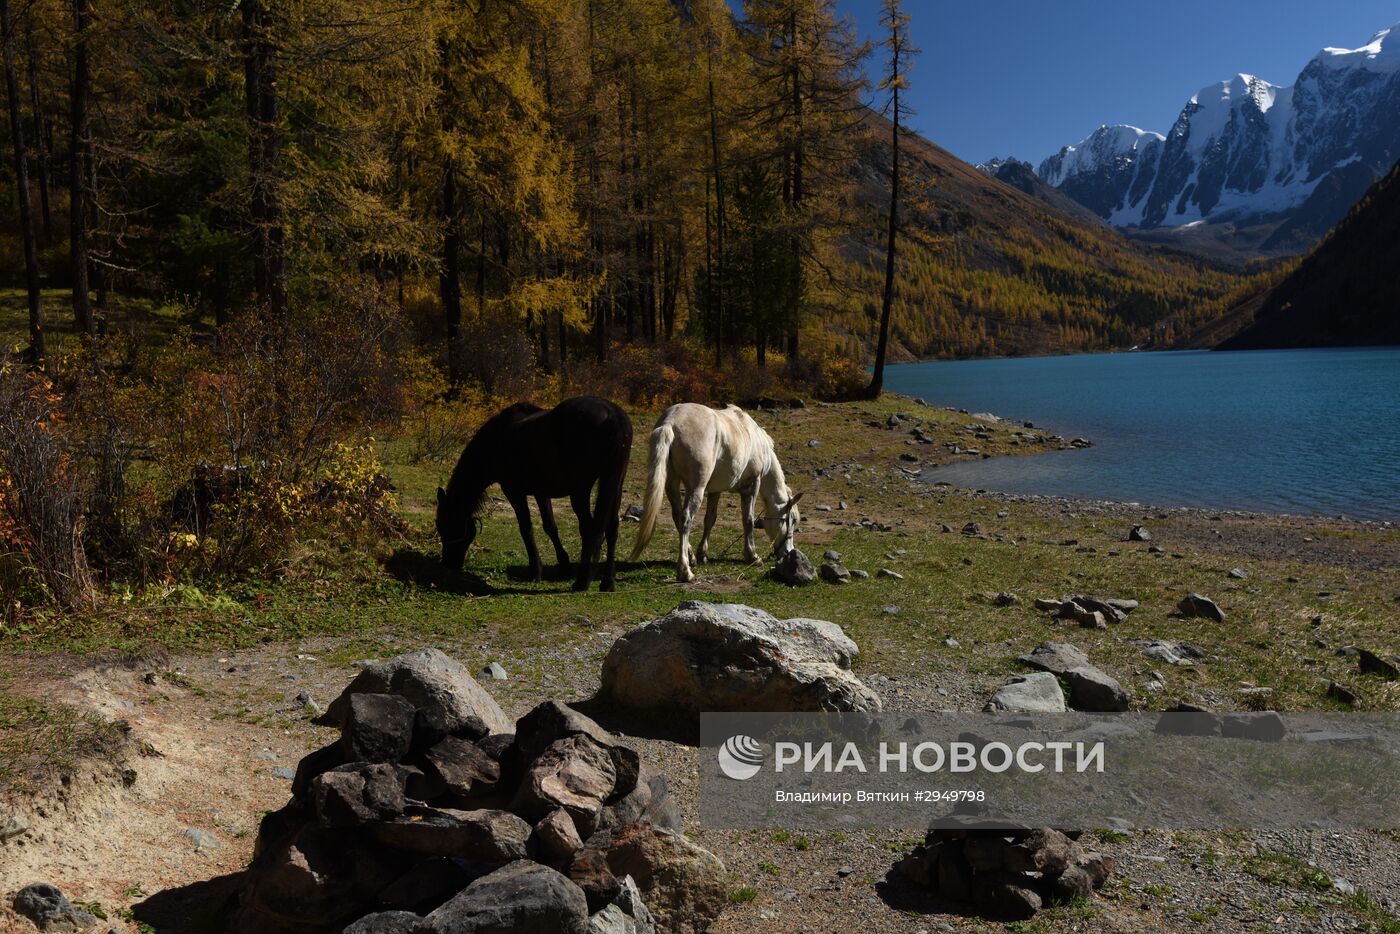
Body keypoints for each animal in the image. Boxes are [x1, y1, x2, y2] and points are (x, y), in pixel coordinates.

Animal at [436, 394, 635, 590]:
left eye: (445, 526)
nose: (448, 564)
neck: (498, 440)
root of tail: (612, 414)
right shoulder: (542, 492)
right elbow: (550, 527)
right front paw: (564, 565)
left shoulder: (513, 491)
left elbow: (526, 528)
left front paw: (536, 571)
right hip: (614, 484)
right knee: (612, 528)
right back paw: (607, 582)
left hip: (581, 492)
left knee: (590, 528)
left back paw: (582, 581)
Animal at [632, 403, 806, 579]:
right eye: (790, 520)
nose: (788, 552)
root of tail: (670, 422)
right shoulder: (752, 485)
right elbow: (748, 520)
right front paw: (752, 556)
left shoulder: (715, 491)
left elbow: (710, 519)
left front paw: (702, 554)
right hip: (696, 488)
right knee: (686, 518)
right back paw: (685, 571)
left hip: (672, 484)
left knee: (677, 516)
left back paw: (691, 557)